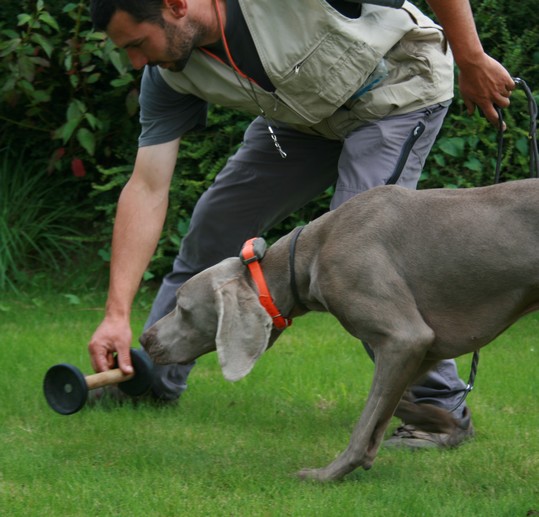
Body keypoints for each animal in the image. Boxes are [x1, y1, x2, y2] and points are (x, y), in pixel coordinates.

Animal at [140, 177, 539, 480]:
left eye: (182, 307)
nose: (144, 339)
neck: (310, 252)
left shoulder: (405, 337)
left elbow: (366, 419)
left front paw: (327, 474)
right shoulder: (423, 348)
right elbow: (389, 405)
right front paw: (440, 421)